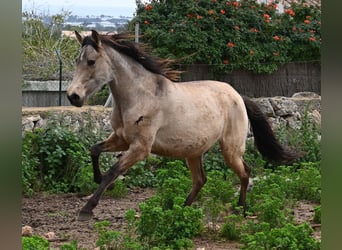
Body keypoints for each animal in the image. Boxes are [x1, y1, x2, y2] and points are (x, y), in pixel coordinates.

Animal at [67, 29, 300, 221]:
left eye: (91, 61)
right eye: (77, 61)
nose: (73, 96)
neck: (140, 96)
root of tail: (238, 96)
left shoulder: (140, 148)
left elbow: (113, 171)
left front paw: (86, 210)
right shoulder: (121, 139)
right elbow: (94, 150)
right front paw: (97, 179)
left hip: (230, 149)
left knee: (244, 172)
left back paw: (239, 210)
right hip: (194, 151)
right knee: (201, 180)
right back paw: (180, 211)